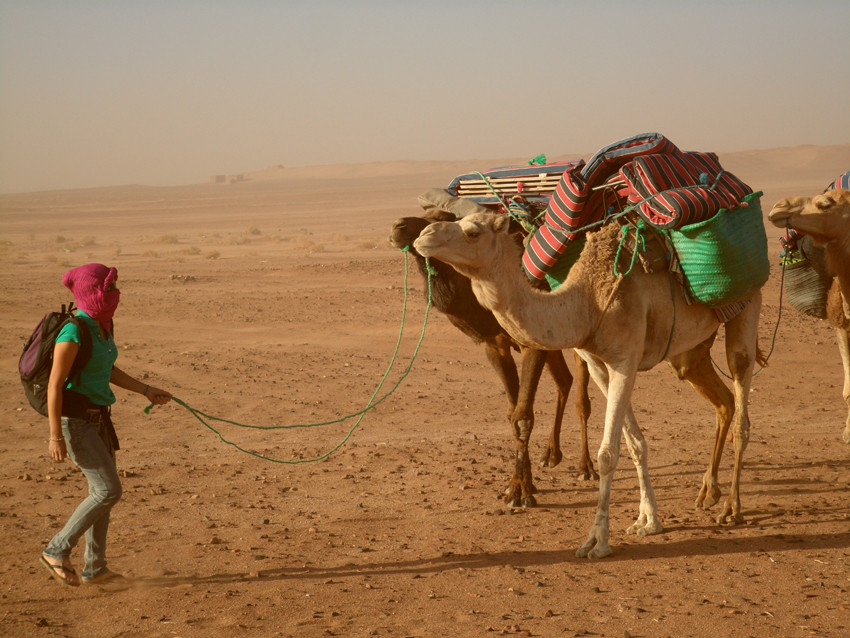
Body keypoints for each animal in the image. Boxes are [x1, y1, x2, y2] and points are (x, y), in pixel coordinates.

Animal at [412, 211, 760, 560]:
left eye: (472, 232)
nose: (423, 237)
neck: (588, 302)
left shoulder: (625, 360)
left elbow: (608, 453)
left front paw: (597, 540)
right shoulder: (597, 365)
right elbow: (635, 443)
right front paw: (648, 520)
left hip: (746, 308)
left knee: (741, 401)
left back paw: (732, 509)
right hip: (690, 350)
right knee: (723, 400)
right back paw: (708, 493)